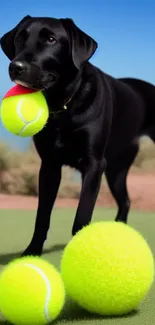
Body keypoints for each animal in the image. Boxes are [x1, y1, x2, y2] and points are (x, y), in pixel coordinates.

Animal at [0, 15, 154, 256]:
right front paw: (32, 251)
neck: (64, 105)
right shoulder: (50, 166)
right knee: (126, 202)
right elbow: (42, 215)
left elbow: (81, 215)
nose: (16, 67)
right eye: (19, 38)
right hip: (116, 170)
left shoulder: (93, 164)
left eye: (51, 39)